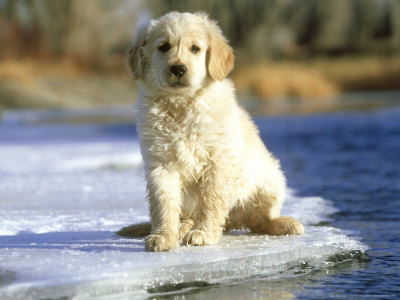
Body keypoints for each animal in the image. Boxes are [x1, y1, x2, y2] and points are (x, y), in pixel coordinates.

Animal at [128, 11, 304, 251]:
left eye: (195, 48)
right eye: (163, 47)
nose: (178, 69)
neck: (181, 105)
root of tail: (232, 222)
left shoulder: (218, 160)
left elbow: (211, 199)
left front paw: (204, 233)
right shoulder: (161, 163)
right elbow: (163, 203)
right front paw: (163, 236)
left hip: (271, 181)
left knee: (258, 219)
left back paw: (284, 223)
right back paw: (183, 226)